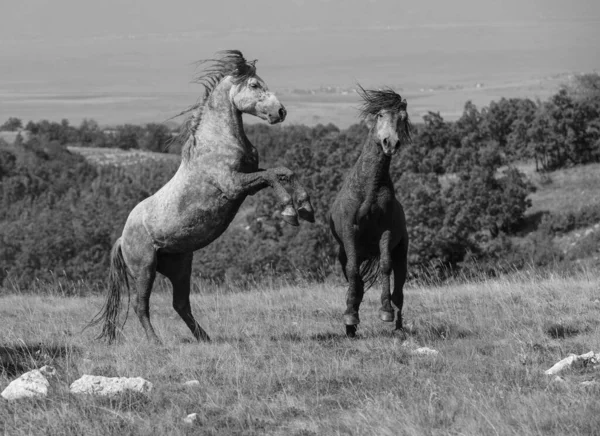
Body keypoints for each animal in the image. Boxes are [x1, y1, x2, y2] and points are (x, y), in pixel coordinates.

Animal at [90, 50, 314, 344]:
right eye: (255, 85)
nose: (280, 112)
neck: (217, 140)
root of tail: (121, 239)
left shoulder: (248, 180)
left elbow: (283, 172)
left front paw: (306, 207)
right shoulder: (234, 185)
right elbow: (273, 176)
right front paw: (290, 212)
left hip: (181, 267)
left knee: (181, 305)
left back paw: (206, 339)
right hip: (144, 268)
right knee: (142, 306)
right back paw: (157, 342)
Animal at [328, 85, 412, 338]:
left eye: (402, 118)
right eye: (380, 115)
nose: (390, 143)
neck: (368, 188)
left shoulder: (386, 232)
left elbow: (385, 267)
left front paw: (385, 312)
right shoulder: (349, 232)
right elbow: (353, 272)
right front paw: (350, 317)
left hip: (401, 253)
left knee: (399, 292)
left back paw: (398, 328)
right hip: (349, 252)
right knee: (356, 278)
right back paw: (351, 324)